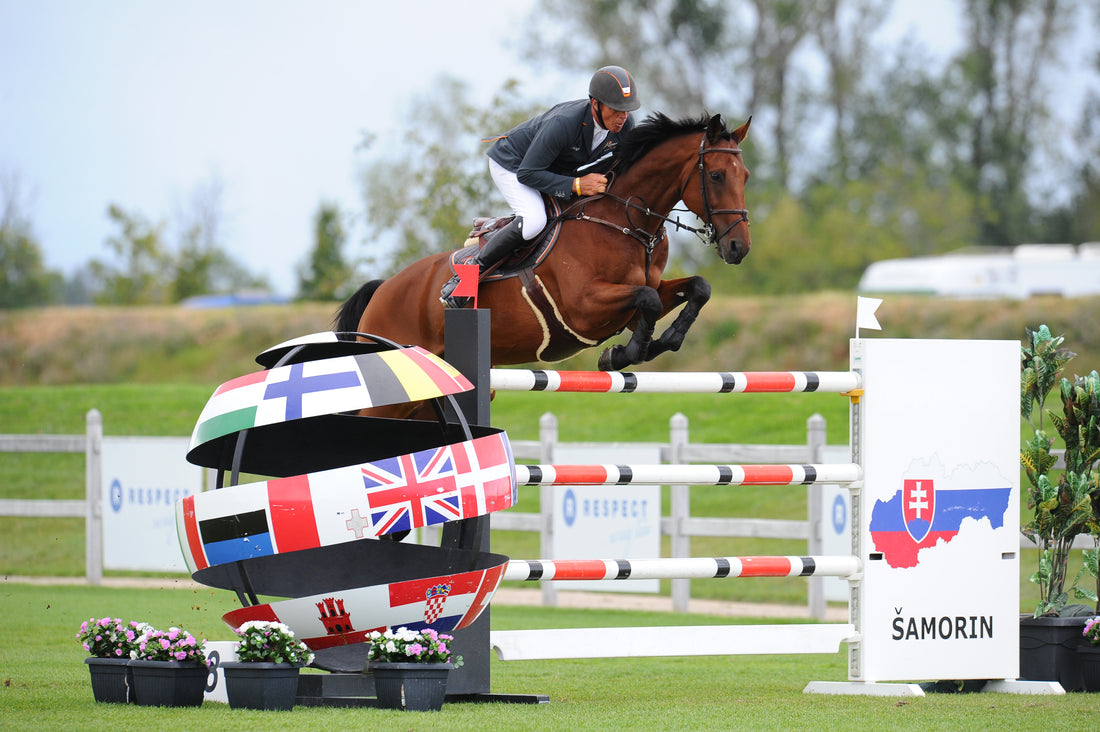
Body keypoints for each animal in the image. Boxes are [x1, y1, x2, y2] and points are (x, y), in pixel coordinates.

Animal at [332, 112, 748, 385]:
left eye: (744, 175)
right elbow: (646, 299)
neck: (627, 221)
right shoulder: (585, 306)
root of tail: (382, 290)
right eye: (715, 175)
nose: (738, 247)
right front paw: (623, 354)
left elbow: (696, 288)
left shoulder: (639, 298)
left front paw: (658, 343)